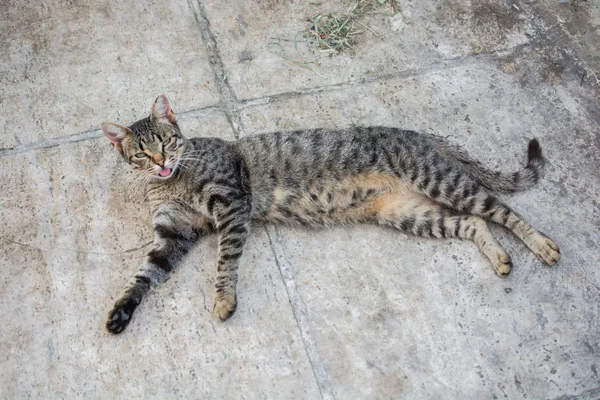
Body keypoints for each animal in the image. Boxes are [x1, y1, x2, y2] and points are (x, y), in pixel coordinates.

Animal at [101, 95, 560, 332]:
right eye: (141, 153)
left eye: (167, 142)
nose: (161, 162)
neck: (172, 181)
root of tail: (418, 134)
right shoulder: (172, 234)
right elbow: (144, 275)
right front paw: (122, 309)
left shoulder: (231, 203)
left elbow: (225, 261)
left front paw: (224, 298)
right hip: (407, 213)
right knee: (474, 221)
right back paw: (499, 257)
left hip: (442, 183)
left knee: (502, 211)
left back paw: (542, 245)